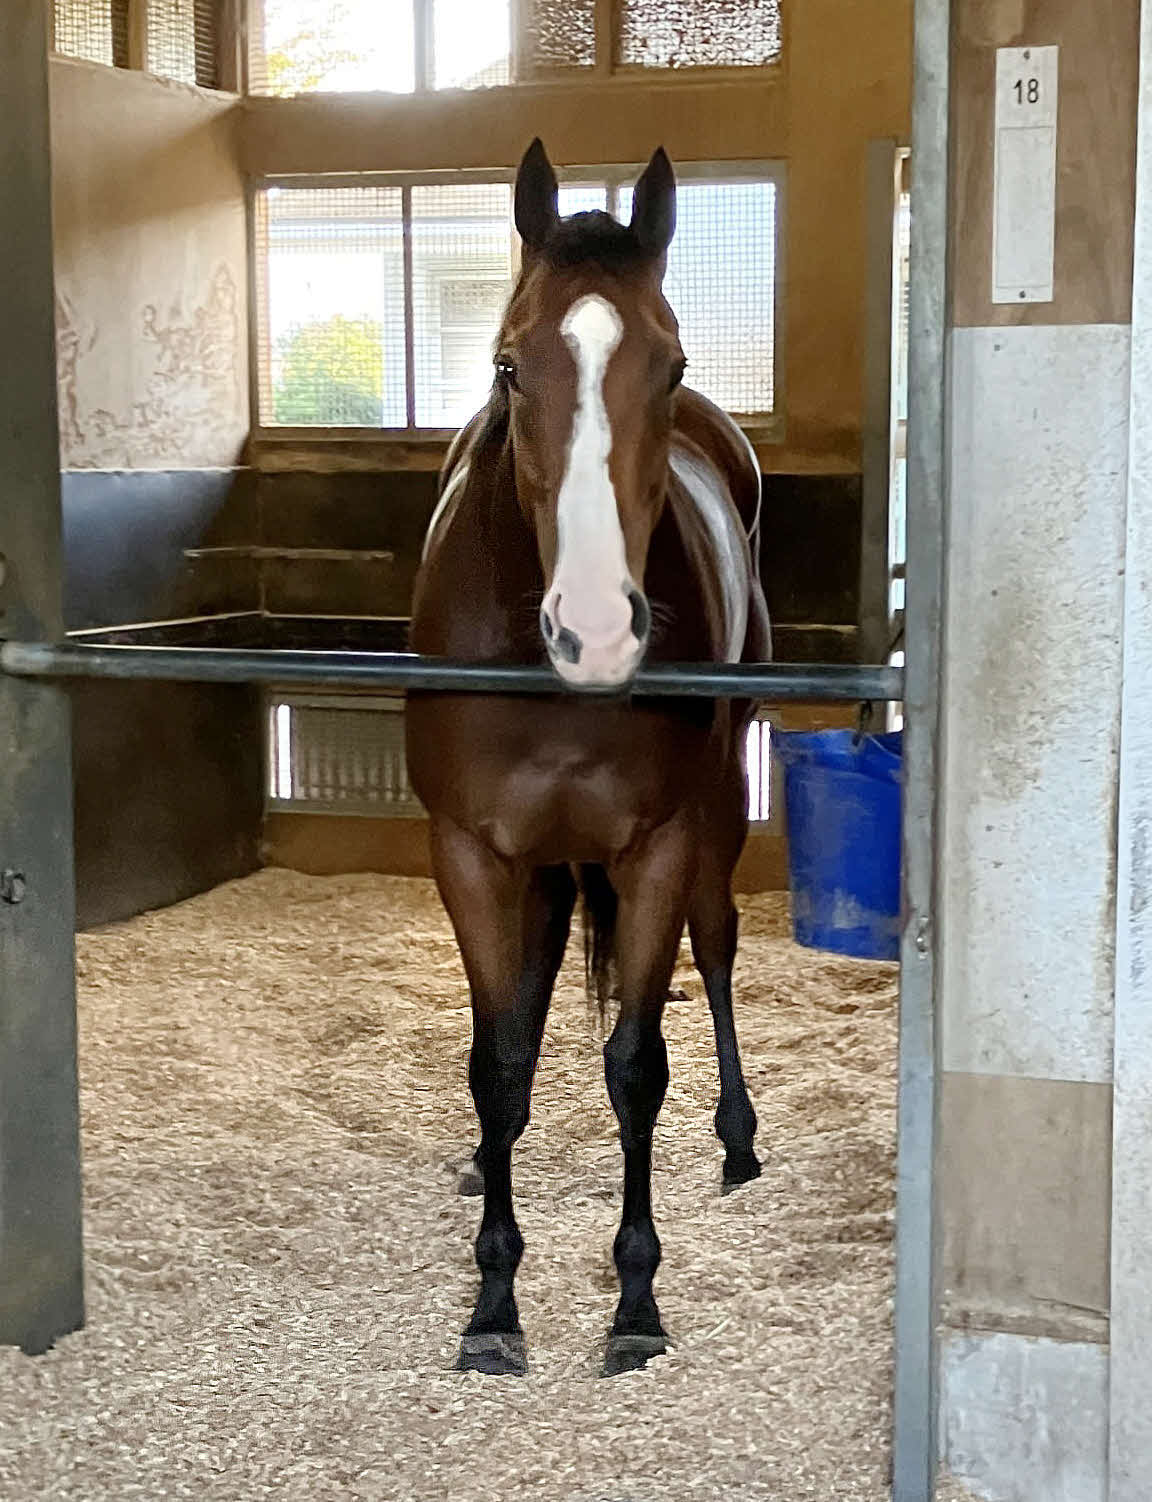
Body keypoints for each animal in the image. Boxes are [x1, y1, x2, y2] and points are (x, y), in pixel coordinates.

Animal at [405, 138, 771, 1378]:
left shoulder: (658, 848)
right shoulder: (472, 854)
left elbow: (635, 1064)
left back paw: (741, 1139)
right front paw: (491, 1302)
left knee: (717, 949)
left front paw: (634, 1301)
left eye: (672, 362)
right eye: (511, 366)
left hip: (720, 809)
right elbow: (496, 1058)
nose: (598, 630)